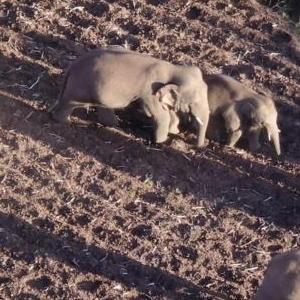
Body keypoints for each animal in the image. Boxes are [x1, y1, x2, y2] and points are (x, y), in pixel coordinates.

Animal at [49, 47, 209, 147]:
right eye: (194, 102)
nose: (199, 146)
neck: (174, 68)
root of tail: (72, 66)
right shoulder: (149, 92)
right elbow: (161, 115)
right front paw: (161, 142)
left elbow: (170, 113)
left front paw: (174, 132)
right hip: (79, 89)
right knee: (70, 104)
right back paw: (65, 122)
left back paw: (113, 124)